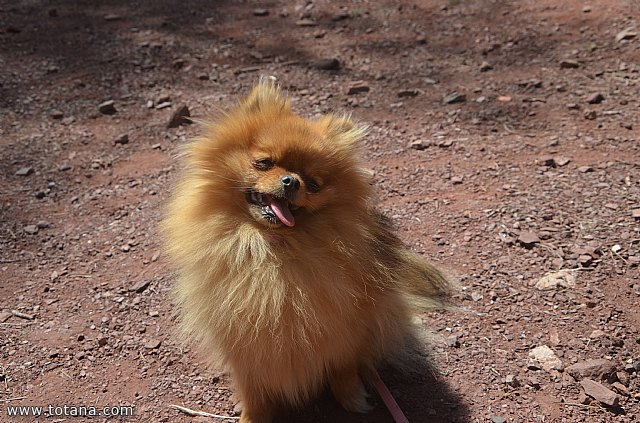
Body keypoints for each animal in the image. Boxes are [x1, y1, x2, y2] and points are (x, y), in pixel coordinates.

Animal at [162, 78, 452, 422]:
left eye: (313, 183)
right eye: (264, 163)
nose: (291, 181)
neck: (274, 247)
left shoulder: (345, 325)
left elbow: (342, 368)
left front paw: (352, 398)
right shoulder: (243, 341)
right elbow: (254, 388)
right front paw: (251, 415)